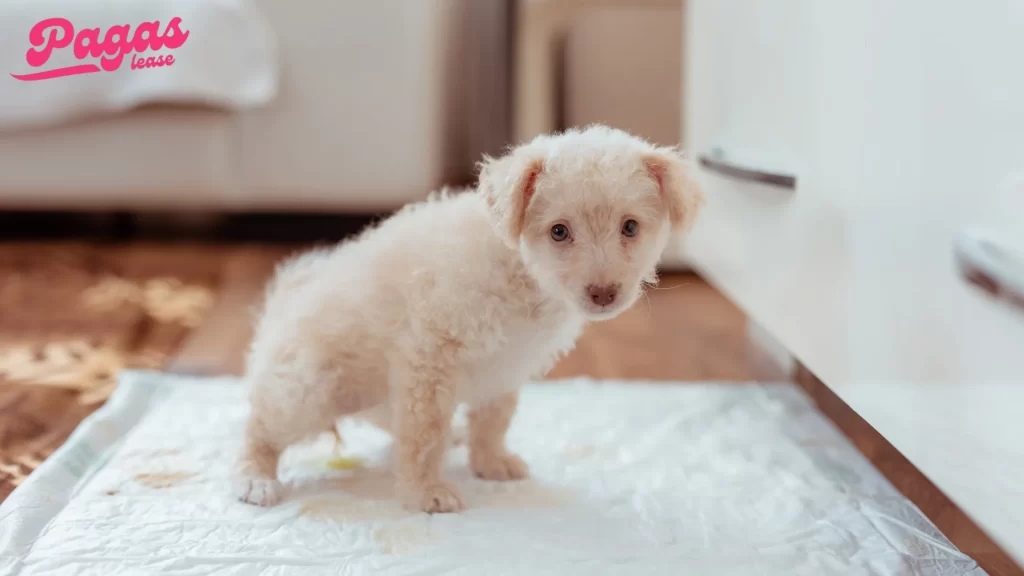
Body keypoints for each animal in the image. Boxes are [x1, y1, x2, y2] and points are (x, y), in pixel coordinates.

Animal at [234, 123, 700, 508]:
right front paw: (426, 493)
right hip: (307, 389)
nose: (603, 294)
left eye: (630, 227)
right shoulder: (428, 358)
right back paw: (256, 479)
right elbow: (425, 434)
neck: (520, 273)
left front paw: (490, 464)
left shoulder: (505, 366)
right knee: (259, 426)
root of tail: (279, 307)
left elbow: (492, 421)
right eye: (559, 232)